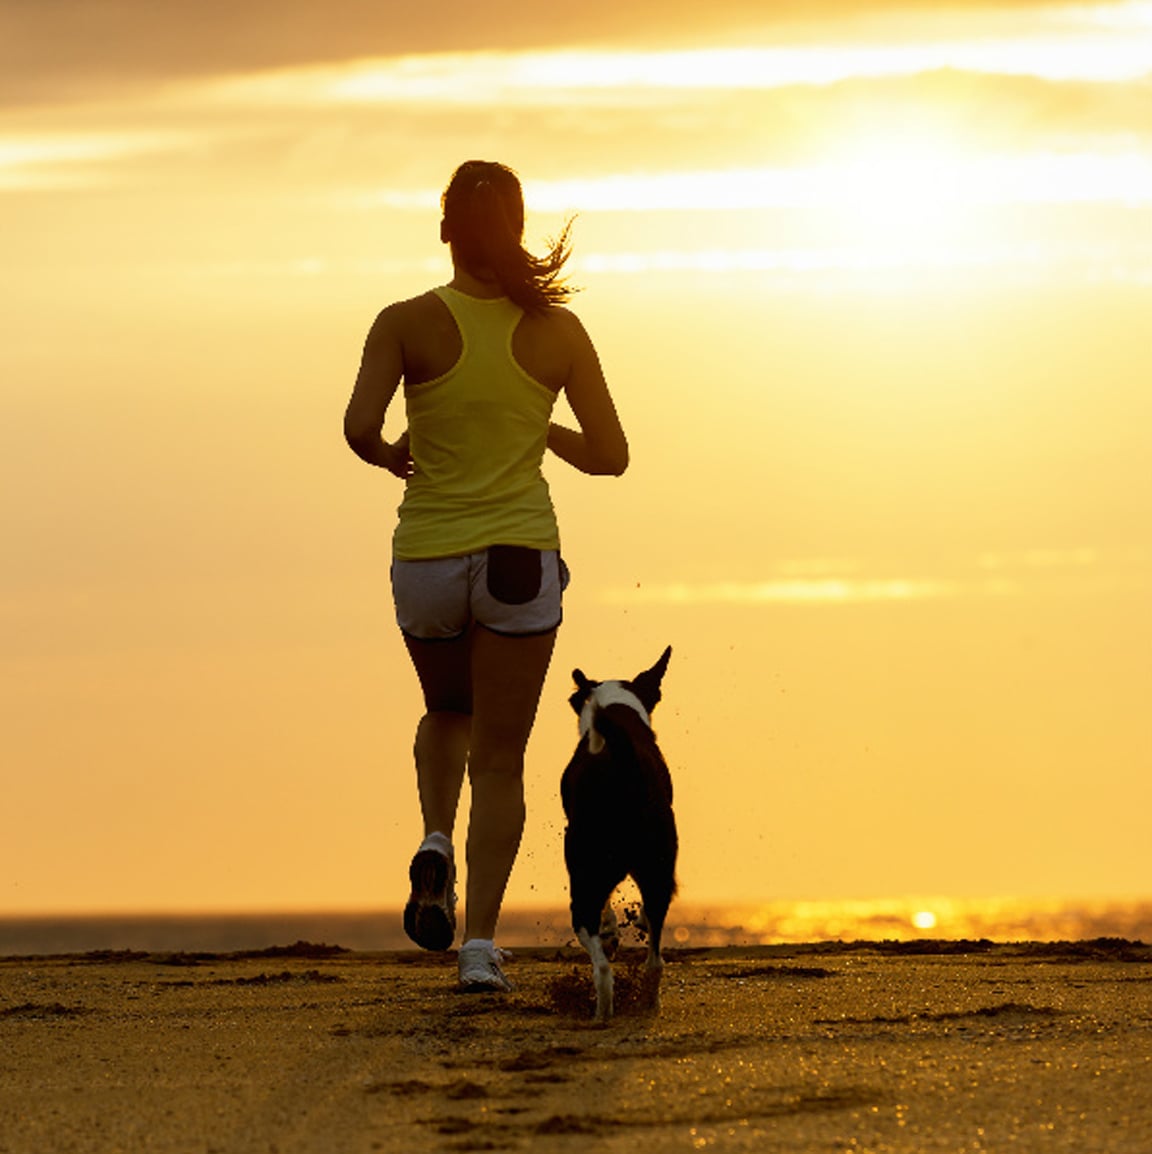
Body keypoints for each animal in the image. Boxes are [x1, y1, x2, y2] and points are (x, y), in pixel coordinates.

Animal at [563, 650, 678, 1020]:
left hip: (584, 870)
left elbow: (607, 907)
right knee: (655, 960)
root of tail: (623, 766)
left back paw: (602, 1010)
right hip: (658, 867)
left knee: (599, 961)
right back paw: (649, 1003)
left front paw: (611, 931)